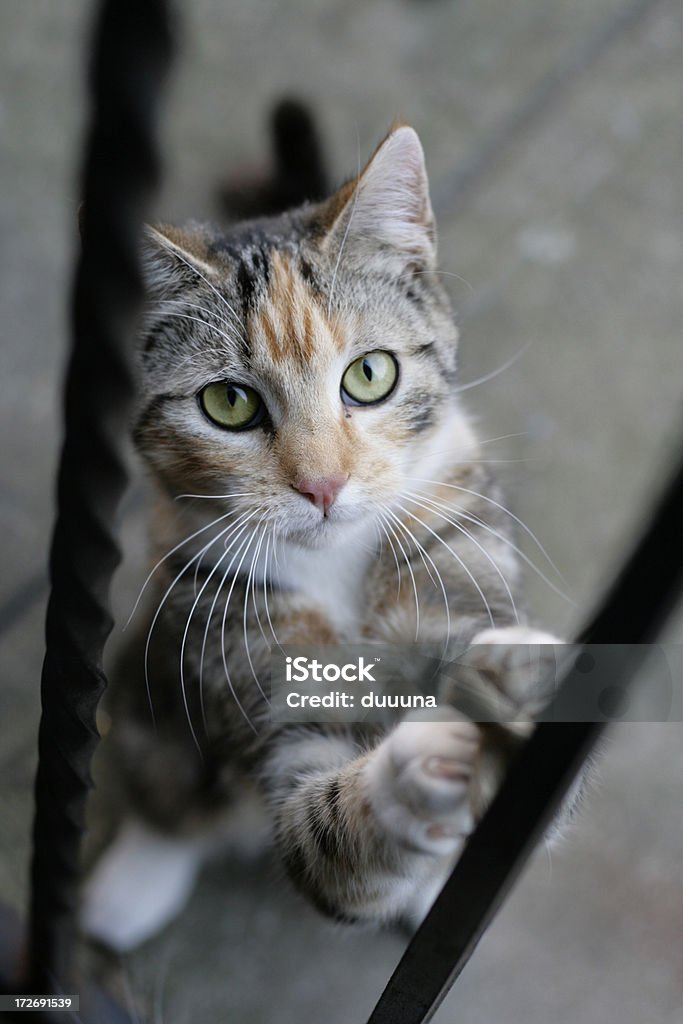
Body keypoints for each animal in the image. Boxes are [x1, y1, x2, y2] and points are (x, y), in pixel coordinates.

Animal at [83, 117, 565, 950]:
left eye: (370, 375)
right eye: (229, 404)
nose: (322, 486)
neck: (337, 567)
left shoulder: (458, 546)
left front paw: (507, 696)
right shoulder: (231, 633)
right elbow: (320, 831)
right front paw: (419, 772)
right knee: (166, 783)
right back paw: (131, 883)